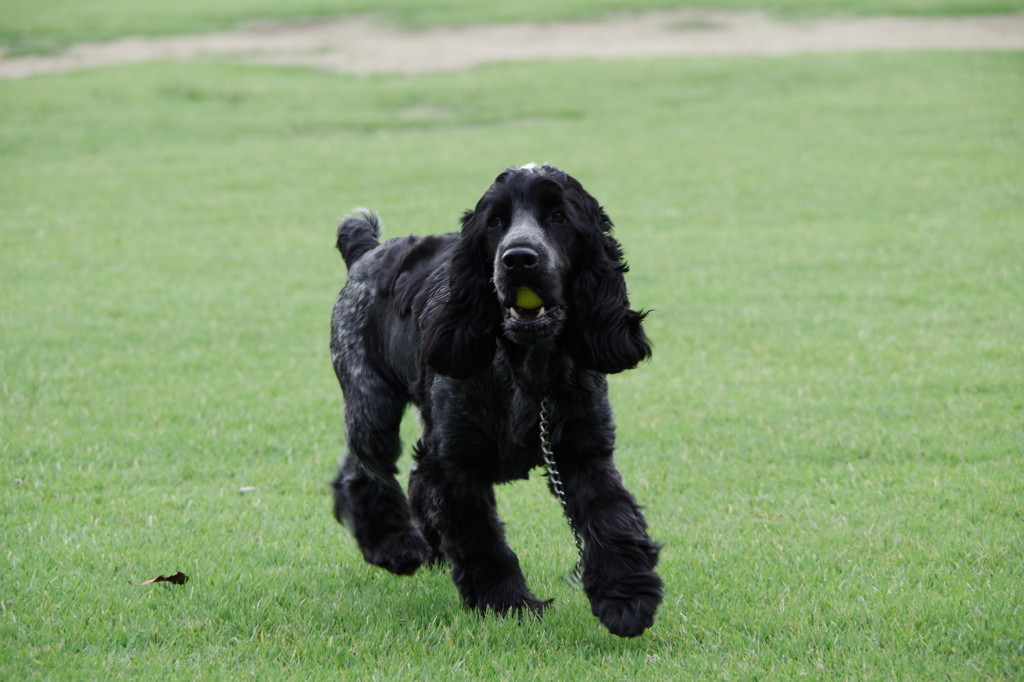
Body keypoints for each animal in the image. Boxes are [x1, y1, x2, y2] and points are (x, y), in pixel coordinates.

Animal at [329, 164, 663, 638]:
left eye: (559, 217)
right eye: (495, 223)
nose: (518, 258)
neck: (528, 369)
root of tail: (367, 251)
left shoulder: (584, 451)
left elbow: (612, 516)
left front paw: (627, 597)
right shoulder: (456, 464)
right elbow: (482, 539)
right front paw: (508, 604)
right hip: (370, 397)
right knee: (363, 470)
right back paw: (395, 545)